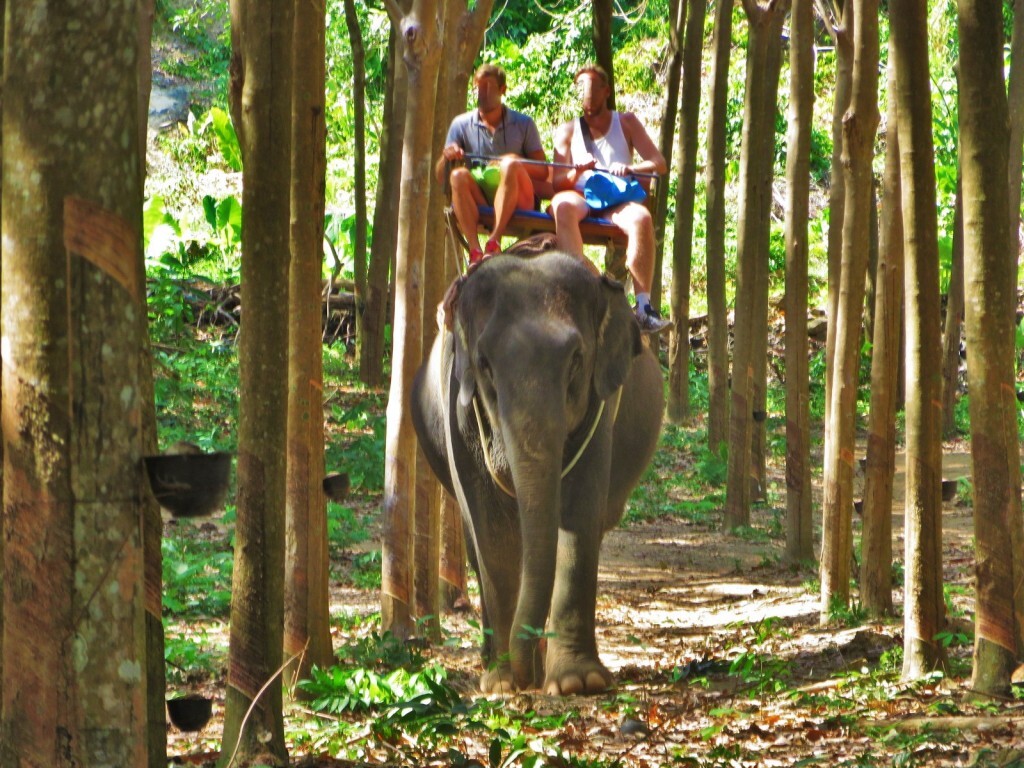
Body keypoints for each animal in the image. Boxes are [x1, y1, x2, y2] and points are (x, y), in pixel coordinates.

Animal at [409, 249, 663, 696]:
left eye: (576, 360)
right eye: (484, 364)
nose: (524, 676)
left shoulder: (602, 404)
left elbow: (577, 515)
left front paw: (578, 682)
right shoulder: (457, 405)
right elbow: (491, 532)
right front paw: (502, 682)